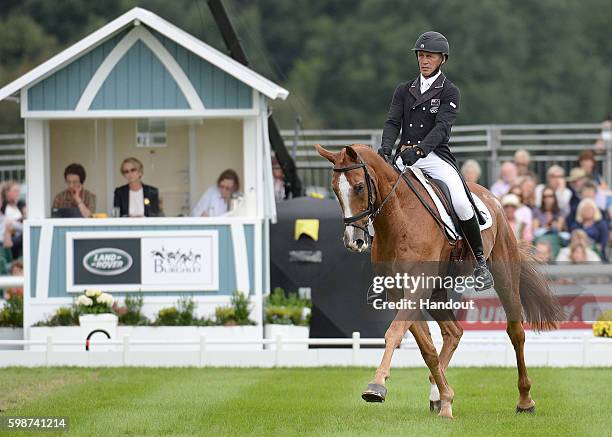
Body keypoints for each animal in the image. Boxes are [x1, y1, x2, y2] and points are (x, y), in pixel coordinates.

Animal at [318, 141, 560, 418]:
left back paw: (525, 400)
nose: (354, 241)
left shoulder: (416, 289)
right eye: (335, 190)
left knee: (516, 332)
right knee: (454, 332)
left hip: (504, 277)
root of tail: (492, 199)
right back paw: (437, 394)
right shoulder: (399, 293)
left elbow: (395, 333)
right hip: (437, 293)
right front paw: (445, 398)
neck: (398, 218)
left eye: (359, 186)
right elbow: (426, 348)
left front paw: (376, 386)